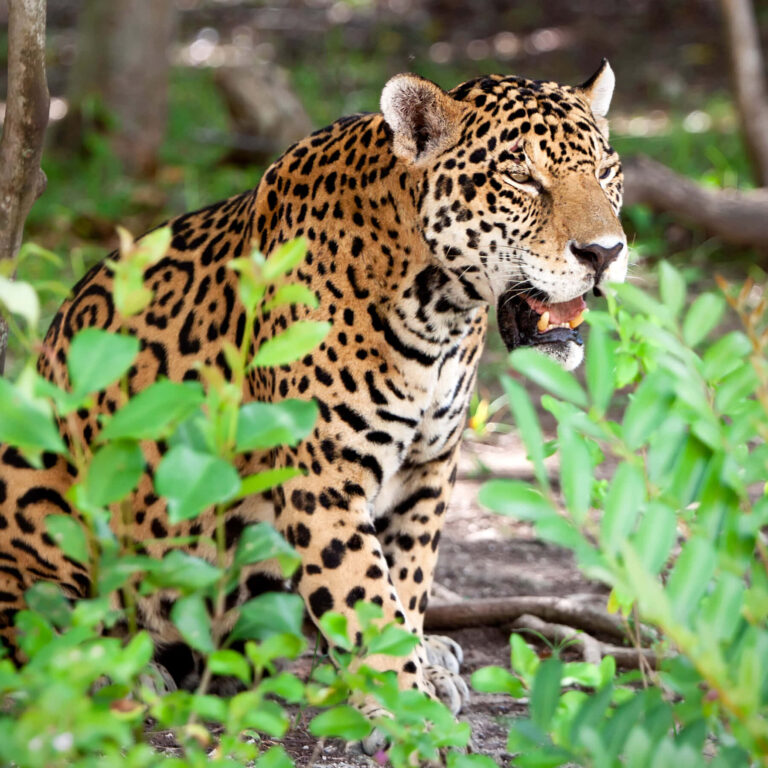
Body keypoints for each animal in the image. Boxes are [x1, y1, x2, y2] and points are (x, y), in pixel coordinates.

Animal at [0, 60, 627, 751]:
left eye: (605, 172)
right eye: (519, 176)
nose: (604, 253)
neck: (439, 311)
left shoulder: (428, 468)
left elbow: (406, 581)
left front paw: (418, 672)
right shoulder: (323, 476)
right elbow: (365, 595)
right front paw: (411, 715)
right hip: (40, 486)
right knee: (43, 638)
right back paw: (129, 675)